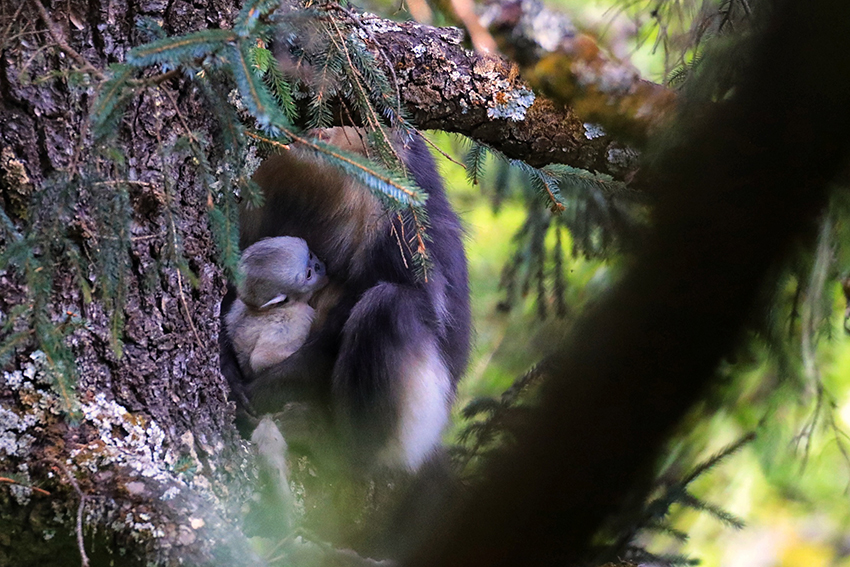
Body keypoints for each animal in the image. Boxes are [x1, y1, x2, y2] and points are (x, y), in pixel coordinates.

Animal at [225, 234, 328, 372]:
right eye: (309, 274)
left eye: (311, 256)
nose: (318, 265)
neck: (259, 310)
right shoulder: (295, 316)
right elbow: (260, 359)